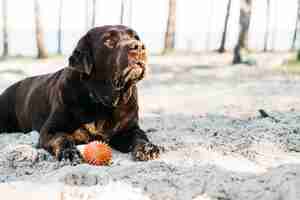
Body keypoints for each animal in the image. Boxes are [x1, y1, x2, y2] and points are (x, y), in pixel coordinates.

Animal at [0, 24, 161, 164]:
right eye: (109, 41)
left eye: (136, 37)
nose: (138, 46)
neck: (102, 102)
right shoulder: (50, 130)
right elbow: (63, 138)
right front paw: (69, 153)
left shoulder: (129, 128)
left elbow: (140, 136)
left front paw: (148, 148)